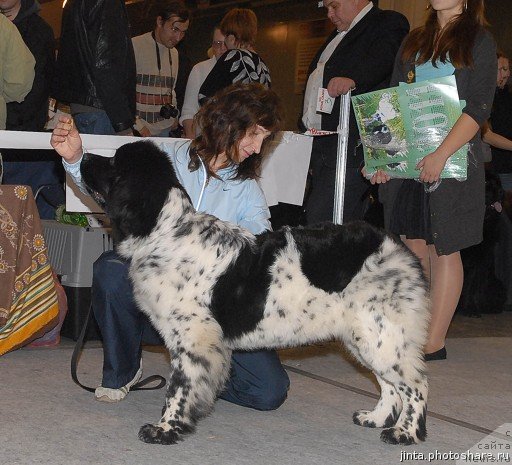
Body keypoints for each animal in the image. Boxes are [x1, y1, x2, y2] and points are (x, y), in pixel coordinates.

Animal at [82, 140, 430, 446]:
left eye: (114, 163)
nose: (83, 156)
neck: (166, 233)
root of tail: (396, 248)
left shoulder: (192, 339)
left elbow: (178, 389)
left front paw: (165, 429)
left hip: (381, 336)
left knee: (415, 385)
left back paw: (404, 433)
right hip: (365, 338)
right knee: (390, 385)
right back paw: (376, 418)